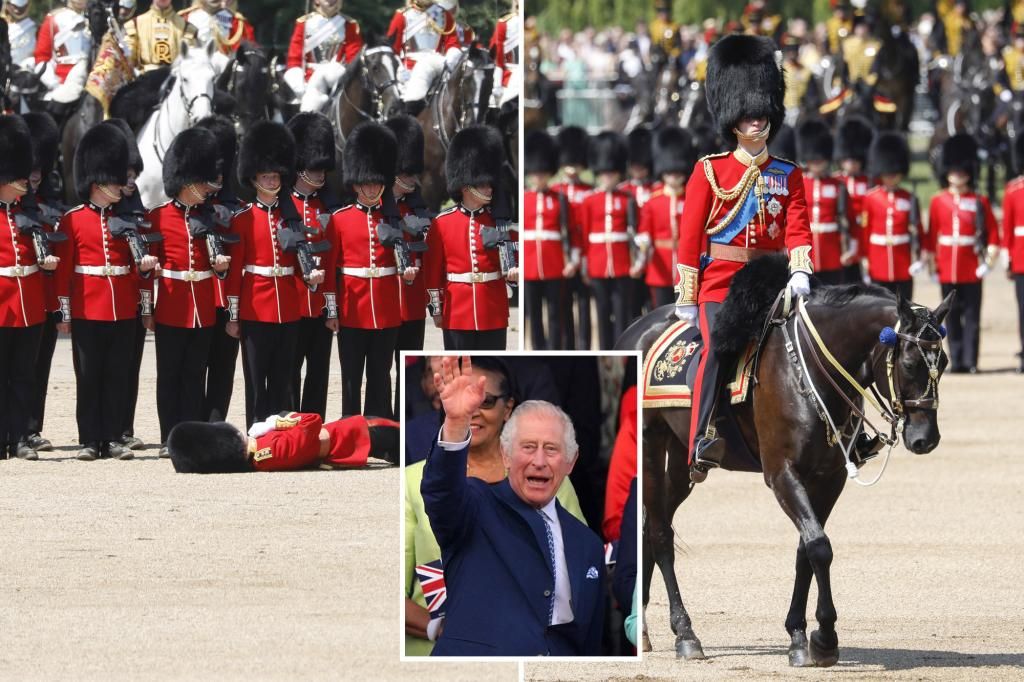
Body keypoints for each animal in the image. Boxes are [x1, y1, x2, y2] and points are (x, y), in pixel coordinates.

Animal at [618, 254, 954, 663]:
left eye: (945, 362)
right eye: (908, 364)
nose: (925, 438)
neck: (810, 369)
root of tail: (636, 328)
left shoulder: (828, 477)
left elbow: (805, 549)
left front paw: (799, 634)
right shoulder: (781, 473)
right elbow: (819, 547)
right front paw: (824, 638)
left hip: (683, 460)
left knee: (653, 522)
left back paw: (641, 627)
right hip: (651, 444)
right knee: (661, 533)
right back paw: (685, 633)